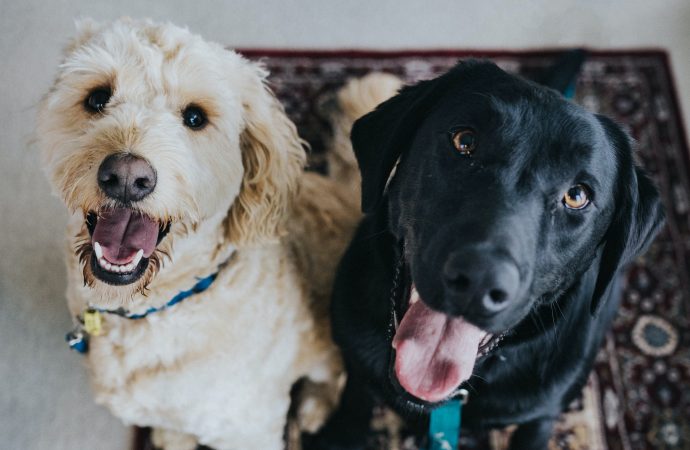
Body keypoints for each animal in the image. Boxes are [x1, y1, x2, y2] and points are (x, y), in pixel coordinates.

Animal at [310, 60, 660, 450]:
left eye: (577, 195)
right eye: (464, 141)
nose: (478, 281)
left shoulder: (541, 413)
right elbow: (355, 399)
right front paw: (339, 435)